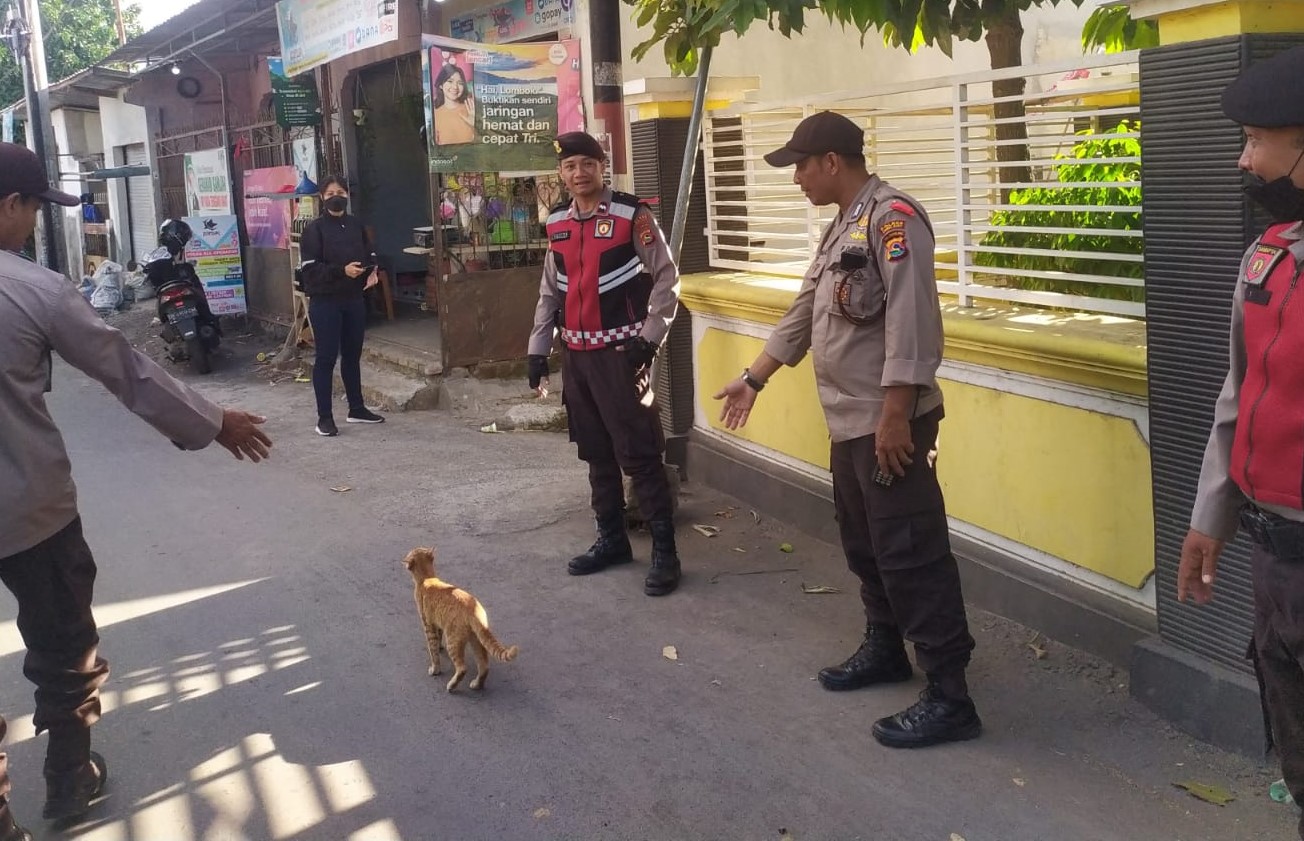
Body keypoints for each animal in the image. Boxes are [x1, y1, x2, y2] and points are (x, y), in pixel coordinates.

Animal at [401, 545, 518, 688]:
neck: (427, 579)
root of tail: (473, 610)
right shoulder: (437, 623)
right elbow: (438, 639)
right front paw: (440, 647)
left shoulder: (428, 624)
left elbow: (432, 650)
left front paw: (435, 669)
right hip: (476, 640)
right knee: (484, 665)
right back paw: (476, 685)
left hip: (453, 641)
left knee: (462, 668)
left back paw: (451, 686)